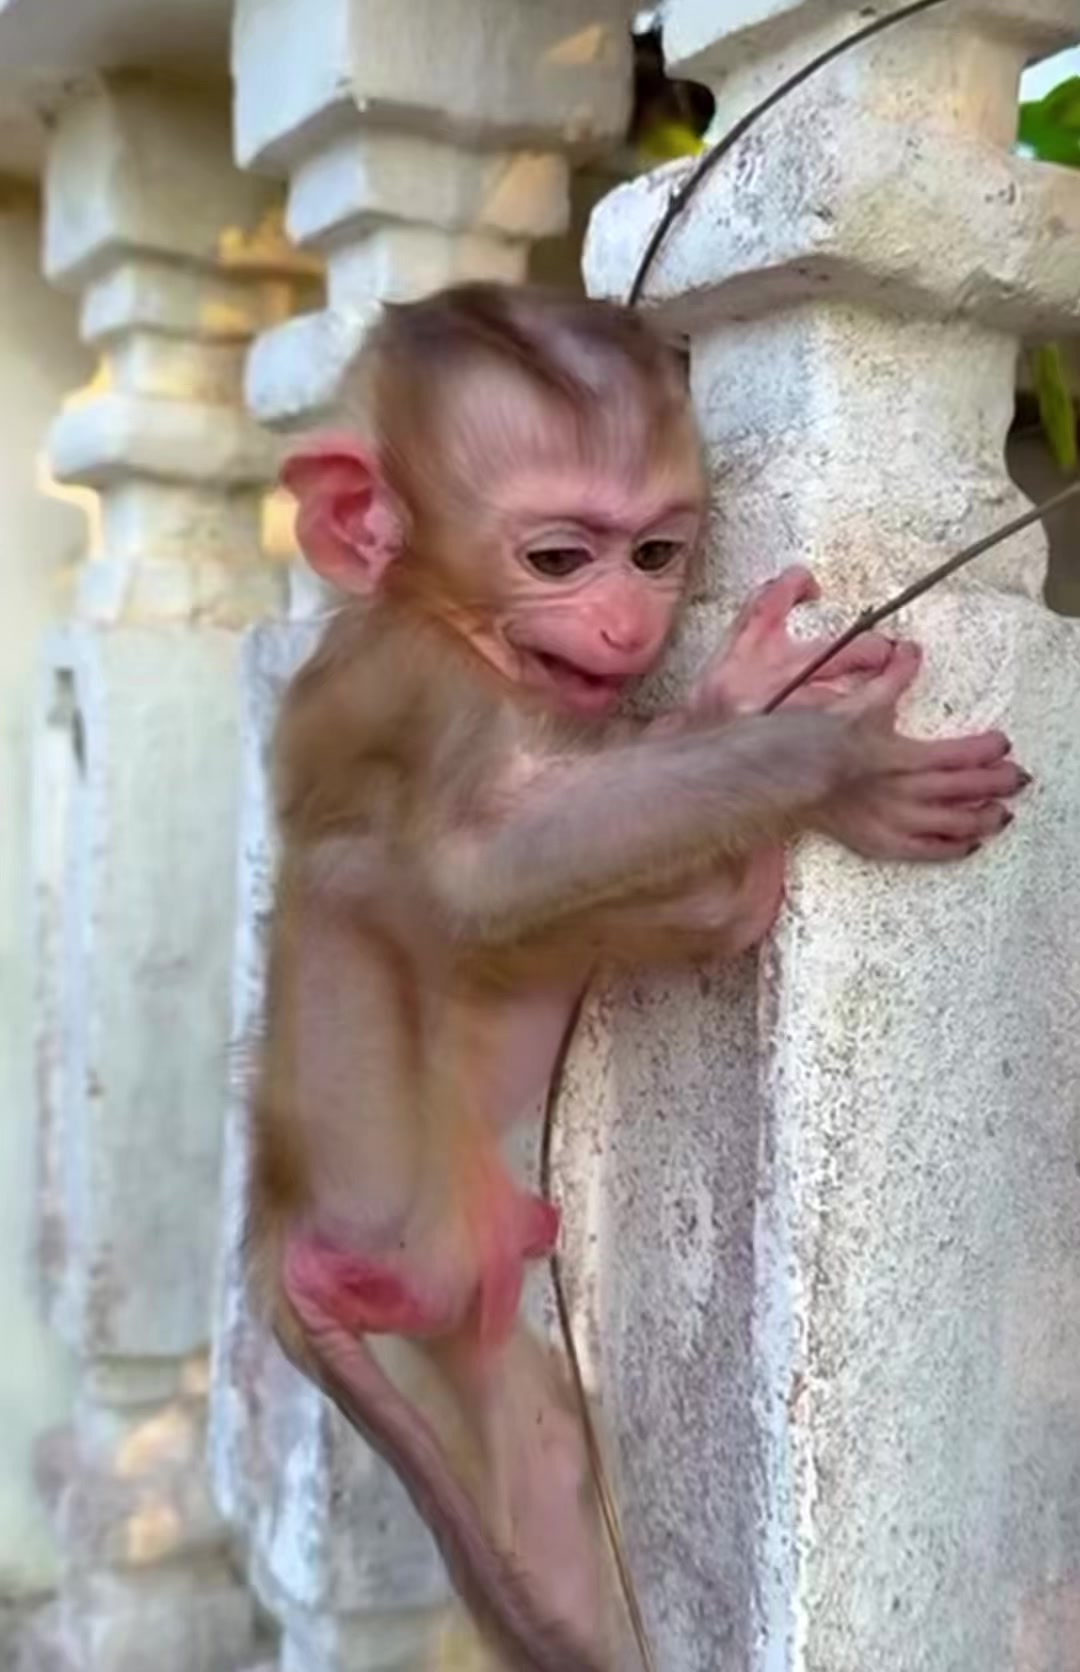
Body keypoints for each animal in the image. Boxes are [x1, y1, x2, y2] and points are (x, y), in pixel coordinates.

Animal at [246, 283, 1028, 1672]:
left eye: (656, 555)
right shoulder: (421, 693)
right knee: (384, 893)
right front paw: (828, 759)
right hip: (398, 1196)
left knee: (547, 1458)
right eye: (561, 559)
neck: (446, 625)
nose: (628, 622)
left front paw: (734, 697)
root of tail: (281, 1232)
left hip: (470, 1292)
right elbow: (477, 881)